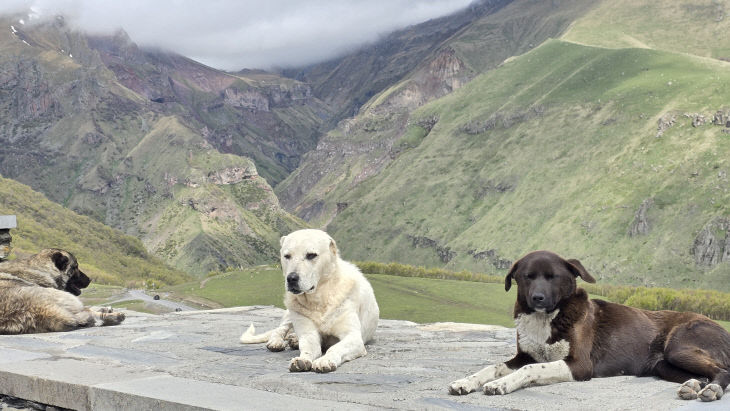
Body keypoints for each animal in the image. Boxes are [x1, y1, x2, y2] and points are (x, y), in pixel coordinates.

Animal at [240, 230, 378, 374]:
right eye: (287, 256)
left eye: (311, 255)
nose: (291, 278)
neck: (319, 300)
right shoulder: (308, 334)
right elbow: (308, 348)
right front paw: (302, 360)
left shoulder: (353, 337)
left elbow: (334, 348)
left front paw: (325, 360)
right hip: (290, 313)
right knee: (280, 329)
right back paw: (277, 342)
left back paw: (294, 340)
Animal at [450, 251, 728, 402]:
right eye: (527, 277)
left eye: (552, 277)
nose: (538, 298)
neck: (546, 319)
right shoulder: (523, 355)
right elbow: (493, 366)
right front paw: (466, 381)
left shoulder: (579, 365)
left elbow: (532, 369)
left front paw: (501, 384)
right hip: (662, 365)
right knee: (704, 375)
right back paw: (693, 386)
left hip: (678, 348)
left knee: (723, 371)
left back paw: (712, 389)